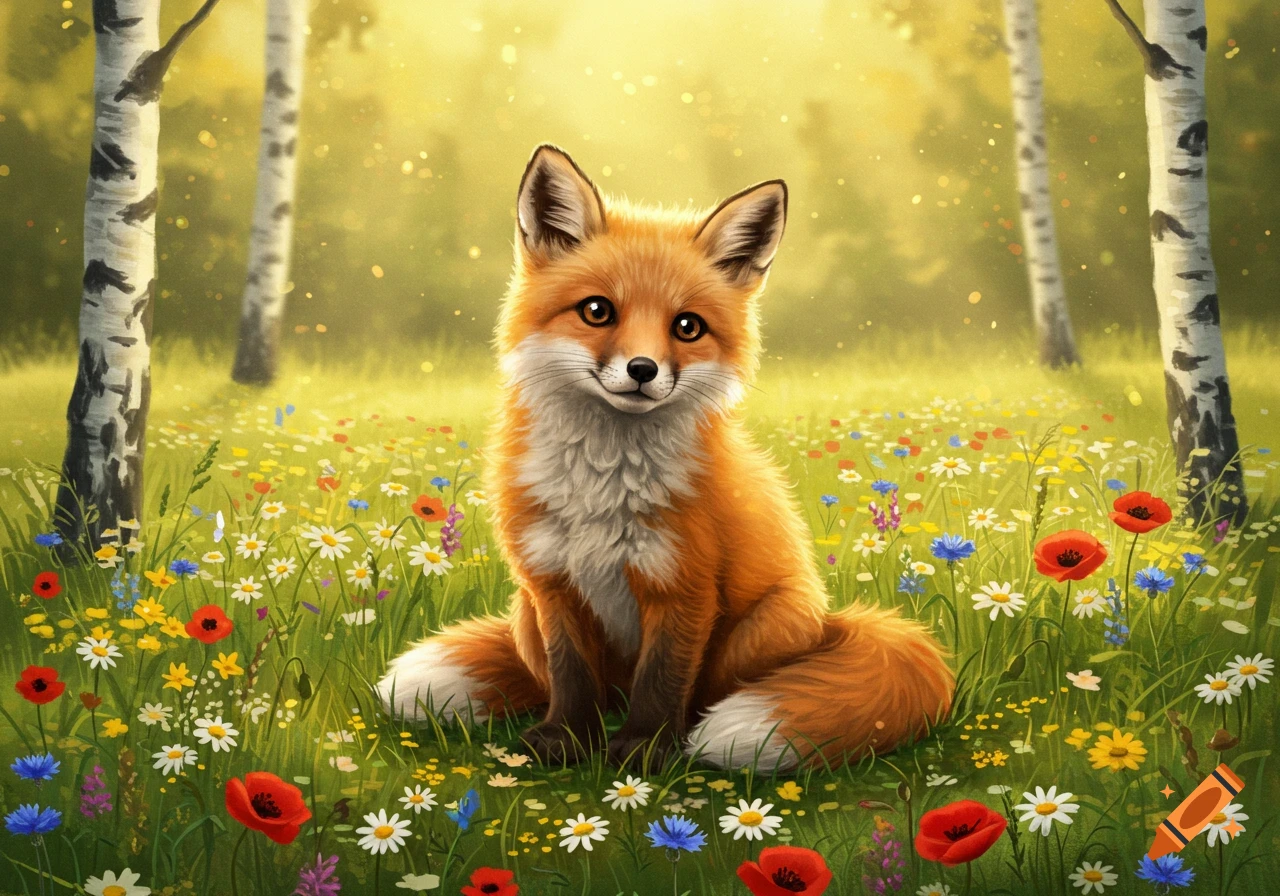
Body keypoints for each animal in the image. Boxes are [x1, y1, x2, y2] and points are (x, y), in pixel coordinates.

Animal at [377, 144, 953, 771]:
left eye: (687, 326)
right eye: (597, 311)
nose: (642, 370)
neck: (602, 483)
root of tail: (830, 622)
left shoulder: (683, 585)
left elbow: (663, 678)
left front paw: (645, 751)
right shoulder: (552, 583)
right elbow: (569, 674)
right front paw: (567, 739)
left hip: (762, 628)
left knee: (703, 692)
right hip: (525, 613)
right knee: (571, 683)